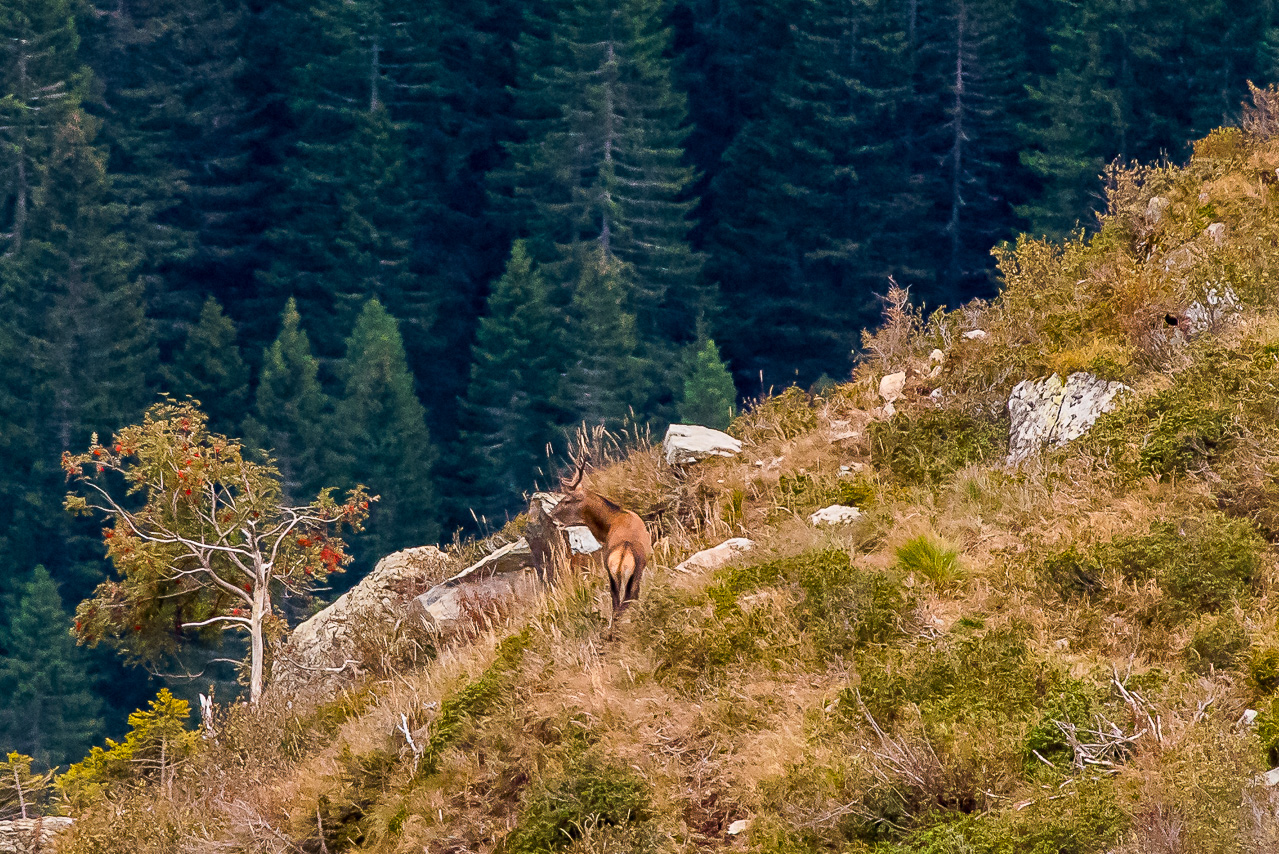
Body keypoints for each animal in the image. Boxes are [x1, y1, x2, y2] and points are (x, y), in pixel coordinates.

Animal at [549, 457, 652, 628]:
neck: (610, 522)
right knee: (625, 602)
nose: (551, 515)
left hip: (614, 573)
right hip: (630, 574)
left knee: (618, 604)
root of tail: (623, 554)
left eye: (567, 500)